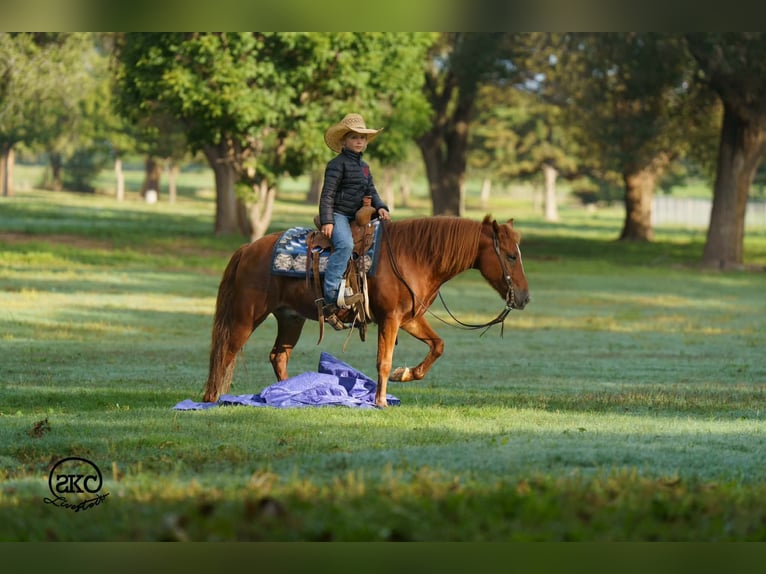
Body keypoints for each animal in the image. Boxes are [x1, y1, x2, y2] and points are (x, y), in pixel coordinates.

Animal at [202, 214, 530, 408]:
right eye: (511, 256)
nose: (525, 298)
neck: (413, 257)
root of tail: (248, 249)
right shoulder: (390, 318)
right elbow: (383, 360)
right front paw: (381, 400)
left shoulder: (409, 318)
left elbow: (437, 345)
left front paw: (404, 374)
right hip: (246, 315)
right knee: (226, 351)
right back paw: (212, 398)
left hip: (290, 318)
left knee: (278, 356)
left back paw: (287, 395)